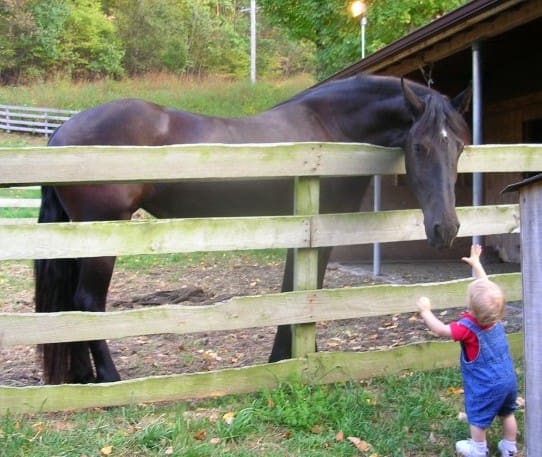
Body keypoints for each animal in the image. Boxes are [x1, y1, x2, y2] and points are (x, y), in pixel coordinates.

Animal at [34, 75, 472, 382]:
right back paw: (110, 379)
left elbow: (294, 291)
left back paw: (81, 377)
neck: (330, 127)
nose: (446, 228)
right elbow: (305, 292)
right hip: (102, 235)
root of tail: (60, 135)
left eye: (459, 146)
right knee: (88, 302)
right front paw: (296, 357)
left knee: (71, 306)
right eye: (419, 146)